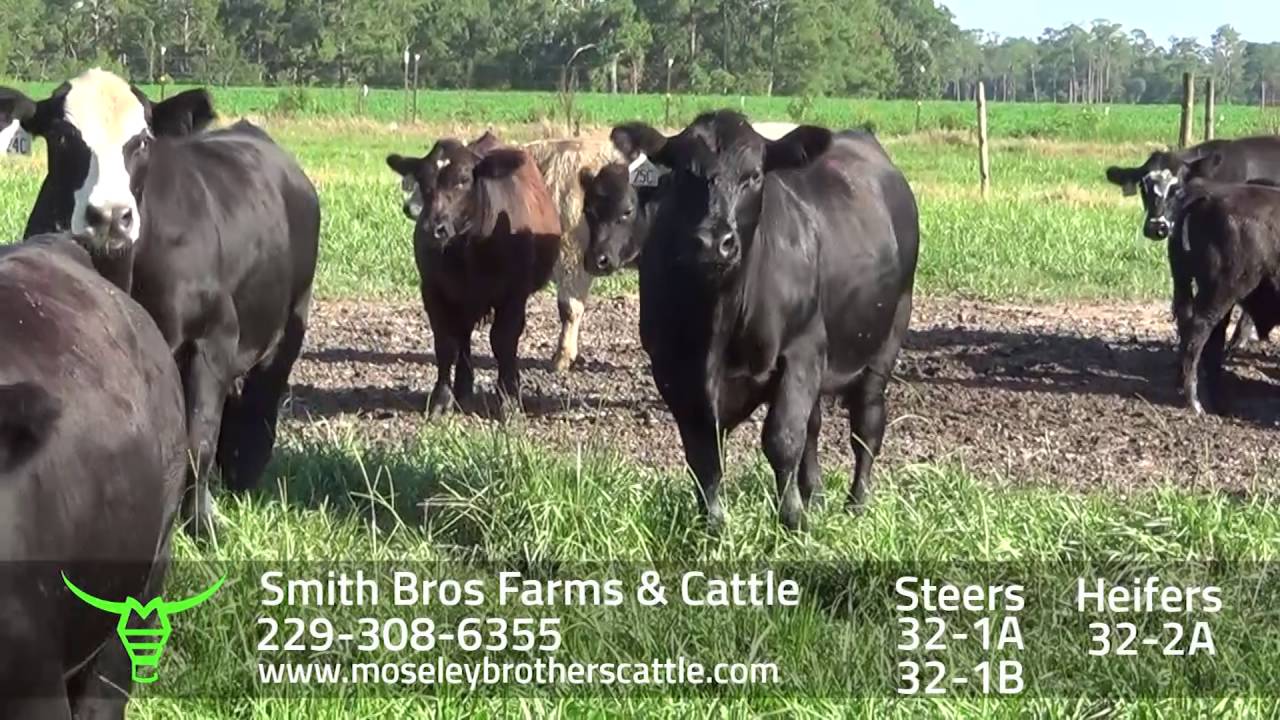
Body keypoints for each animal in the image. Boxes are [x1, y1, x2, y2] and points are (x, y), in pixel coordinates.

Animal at [0, 69, 321, 537]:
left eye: (142, 140)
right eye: (62, 136)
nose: (111, 216)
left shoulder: (215, 336)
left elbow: (198, 438)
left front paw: (201, 522)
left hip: (290, 322)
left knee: (260, 400)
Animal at [385, 134, 561, 417]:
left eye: (463, 180)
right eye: (422, 181)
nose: (431, 228)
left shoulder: (514, 294)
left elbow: (503, 341)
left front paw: (508, 398)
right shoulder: (433, 290)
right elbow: (446, 344)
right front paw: (441, 398)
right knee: (463, 337)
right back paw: (463, 389)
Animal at [584, 111, 919, 531]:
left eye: (754, 175)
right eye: (683, 173)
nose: (714, 242)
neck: (718, 317)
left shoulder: (802, 350)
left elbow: (782, 439)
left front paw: (793, 519)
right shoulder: (672, 369)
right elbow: (704, 453)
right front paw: (713, 525)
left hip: (886, 338)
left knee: (866, 427)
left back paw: (856, 504)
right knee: (814, 425)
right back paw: (816, 495)